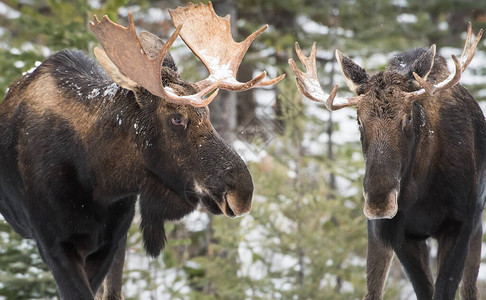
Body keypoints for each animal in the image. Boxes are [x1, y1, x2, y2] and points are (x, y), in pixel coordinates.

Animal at [0, 2, 284, 300]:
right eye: (176, 118)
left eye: (207, 113)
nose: (242, 191)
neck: (97, 181)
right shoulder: (54, 244)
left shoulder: (112, 240)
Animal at [290, 24, 484, 300]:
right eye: (358, 121)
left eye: (409, 118)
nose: (379, 201)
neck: (422, 190)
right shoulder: (398, 234)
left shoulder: (462, 223)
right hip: (377, 235)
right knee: (372, 291)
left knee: (469, 289)